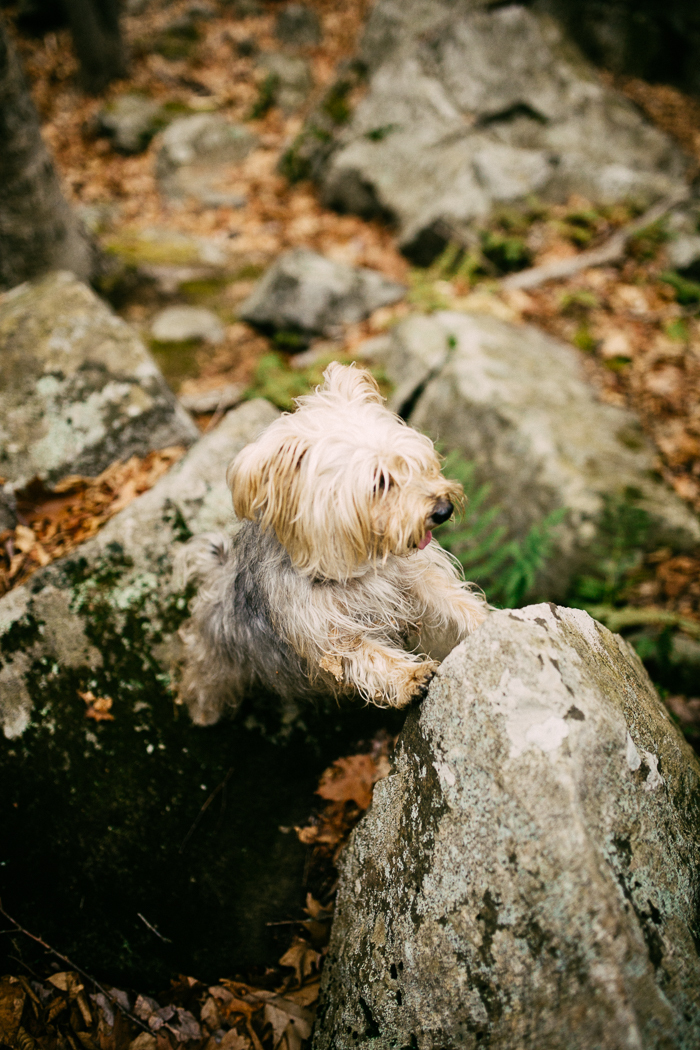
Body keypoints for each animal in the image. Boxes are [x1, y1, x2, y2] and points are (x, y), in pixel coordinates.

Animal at [178, 361, 491, 722]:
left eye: (411, 462)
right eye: (379, 482)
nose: (443, 509)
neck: (359, 562)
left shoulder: (417, 579)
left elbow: (455, 602)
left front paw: (489, 620)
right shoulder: (329, 640)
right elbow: (368, 655)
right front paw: (409, 675)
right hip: (215, 662)